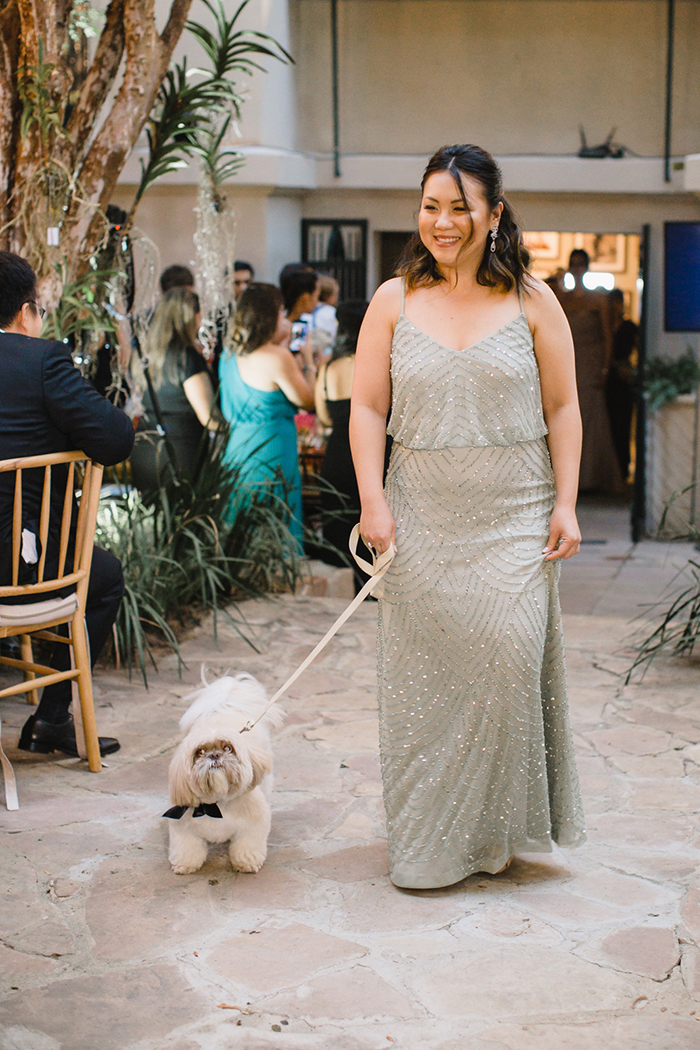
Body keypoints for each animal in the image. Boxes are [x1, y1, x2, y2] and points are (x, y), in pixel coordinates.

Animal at [165, 676, 283, 873]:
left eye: (228, 748)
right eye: (200, 752)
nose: (214, 755)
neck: (216, 804)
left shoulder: (252, 824)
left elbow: (247, 845)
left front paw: (247, 862)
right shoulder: (183, 827)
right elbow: (187, 846)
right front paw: (185, 863)